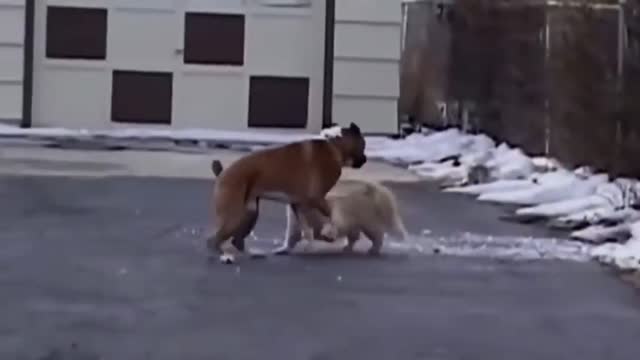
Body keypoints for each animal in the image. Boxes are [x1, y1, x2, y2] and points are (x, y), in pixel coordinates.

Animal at [205, 123, 364, 262]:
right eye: (363, 144)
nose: (364, 159)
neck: (335, 147)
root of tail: (222, 173)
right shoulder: (317, 199)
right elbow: (332, 214)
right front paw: (330, 232)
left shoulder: (297, 204)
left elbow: (307, 230)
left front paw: (309, 245)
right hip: (235, 215)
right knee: (213, 241)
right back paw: (225, 257)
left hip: (249, 213)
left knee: (237, 240)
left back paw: (253, 254)